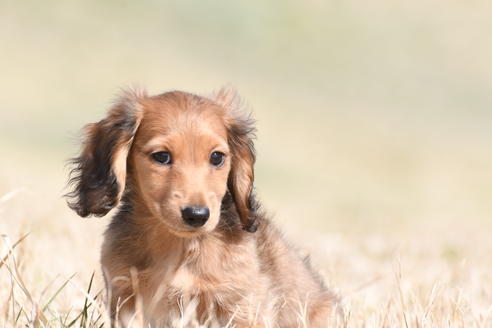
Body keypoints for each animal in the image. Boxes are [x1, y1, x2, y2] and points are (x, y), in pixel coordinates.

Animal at [66, 88, 338, 326]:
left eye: (217, 157)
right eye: (161, 157)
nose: (197, 215)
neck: (179, 249)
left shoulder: (242, 305)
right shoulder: (126, 298)